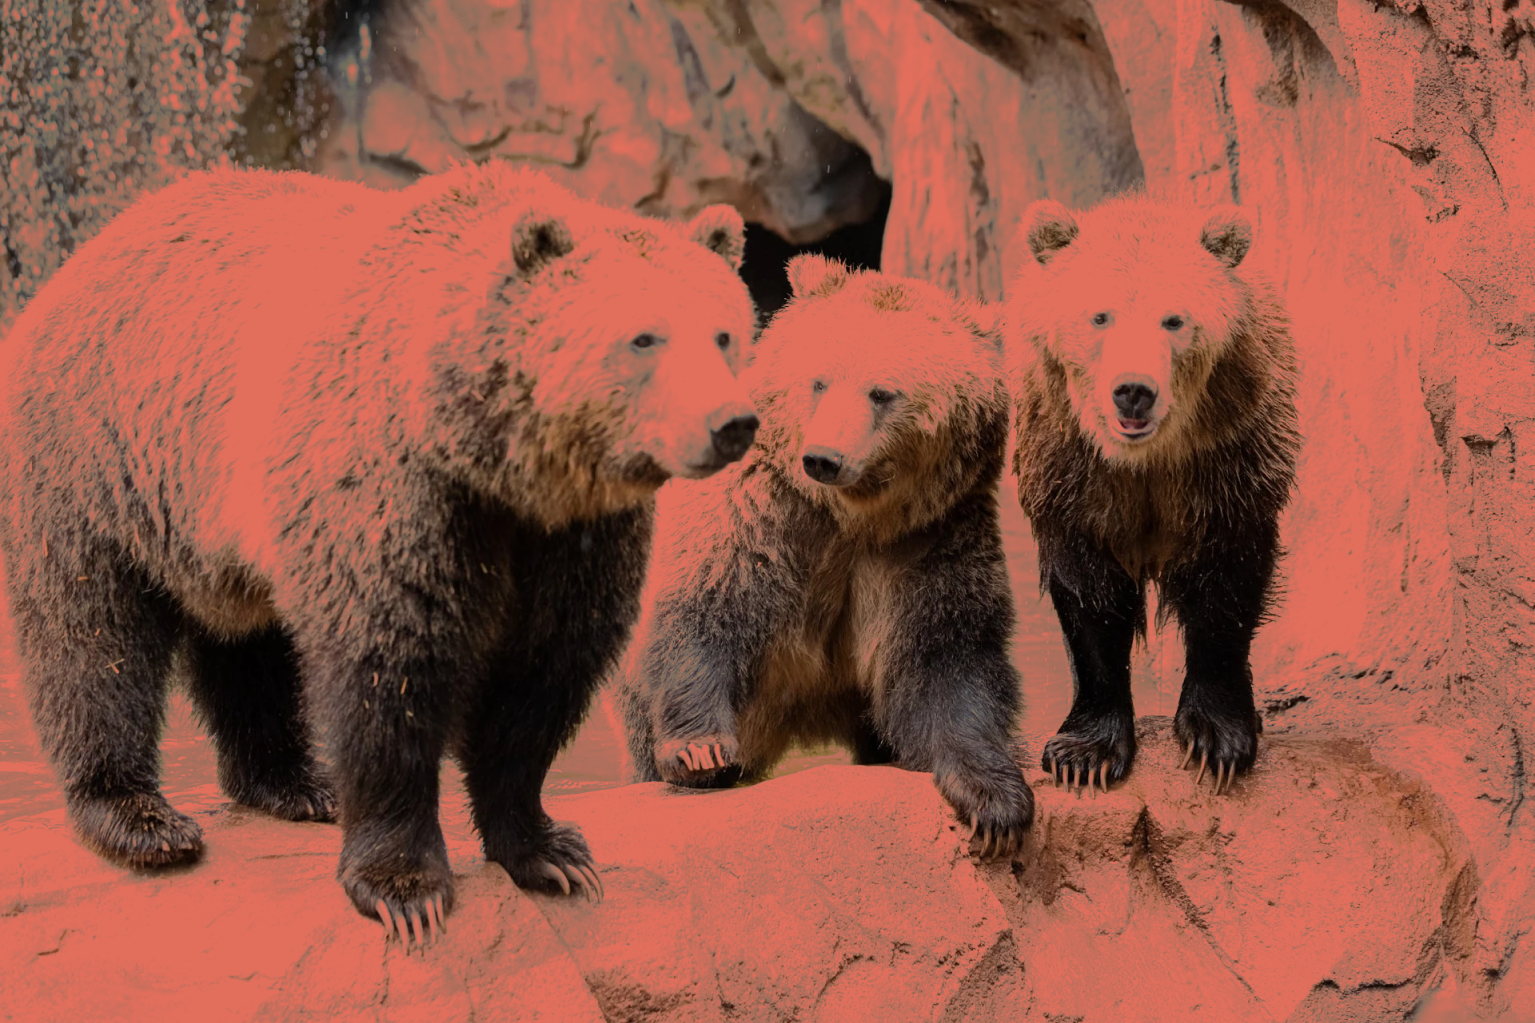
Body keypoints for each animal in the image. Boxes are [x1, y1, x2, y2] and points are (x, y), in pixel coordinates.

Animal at [0, 159, 760, 946]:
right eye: (644, 337)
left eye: (724, 333)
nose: (729, 422)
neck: (491, 457)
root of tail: (88, 252)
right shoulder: (396, 489)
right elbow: (389, 671)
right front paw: (405, 888)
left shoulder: (570, 536)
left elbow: (542, 673)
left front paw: (551, 851)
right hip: (99, 457)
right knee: (92, 637)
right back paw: (139, 817)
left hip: (220, 525)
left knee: (246, 644)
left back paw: (293, 782)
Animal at [614, 254, 1035, 859]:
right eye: (819, 380)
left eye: (881, 392)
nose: (823, 457)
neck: (851, 516)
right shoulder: (766, 515)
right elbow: (707, 608)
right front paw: (700, 751)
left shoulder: (929, 540)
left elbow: (946, 659)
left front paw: (995, 801)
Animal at [1004, 191, 1301, 796]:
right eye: (1100, 315)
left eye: (1174, 319)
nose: (1133, 391)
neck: (1146, 460)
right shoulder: (1072, 470)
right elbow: (1091, 595)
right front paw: (1084, 754)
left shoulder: (1228, 461)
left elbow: (1226, 585)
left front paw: (1217, 739)